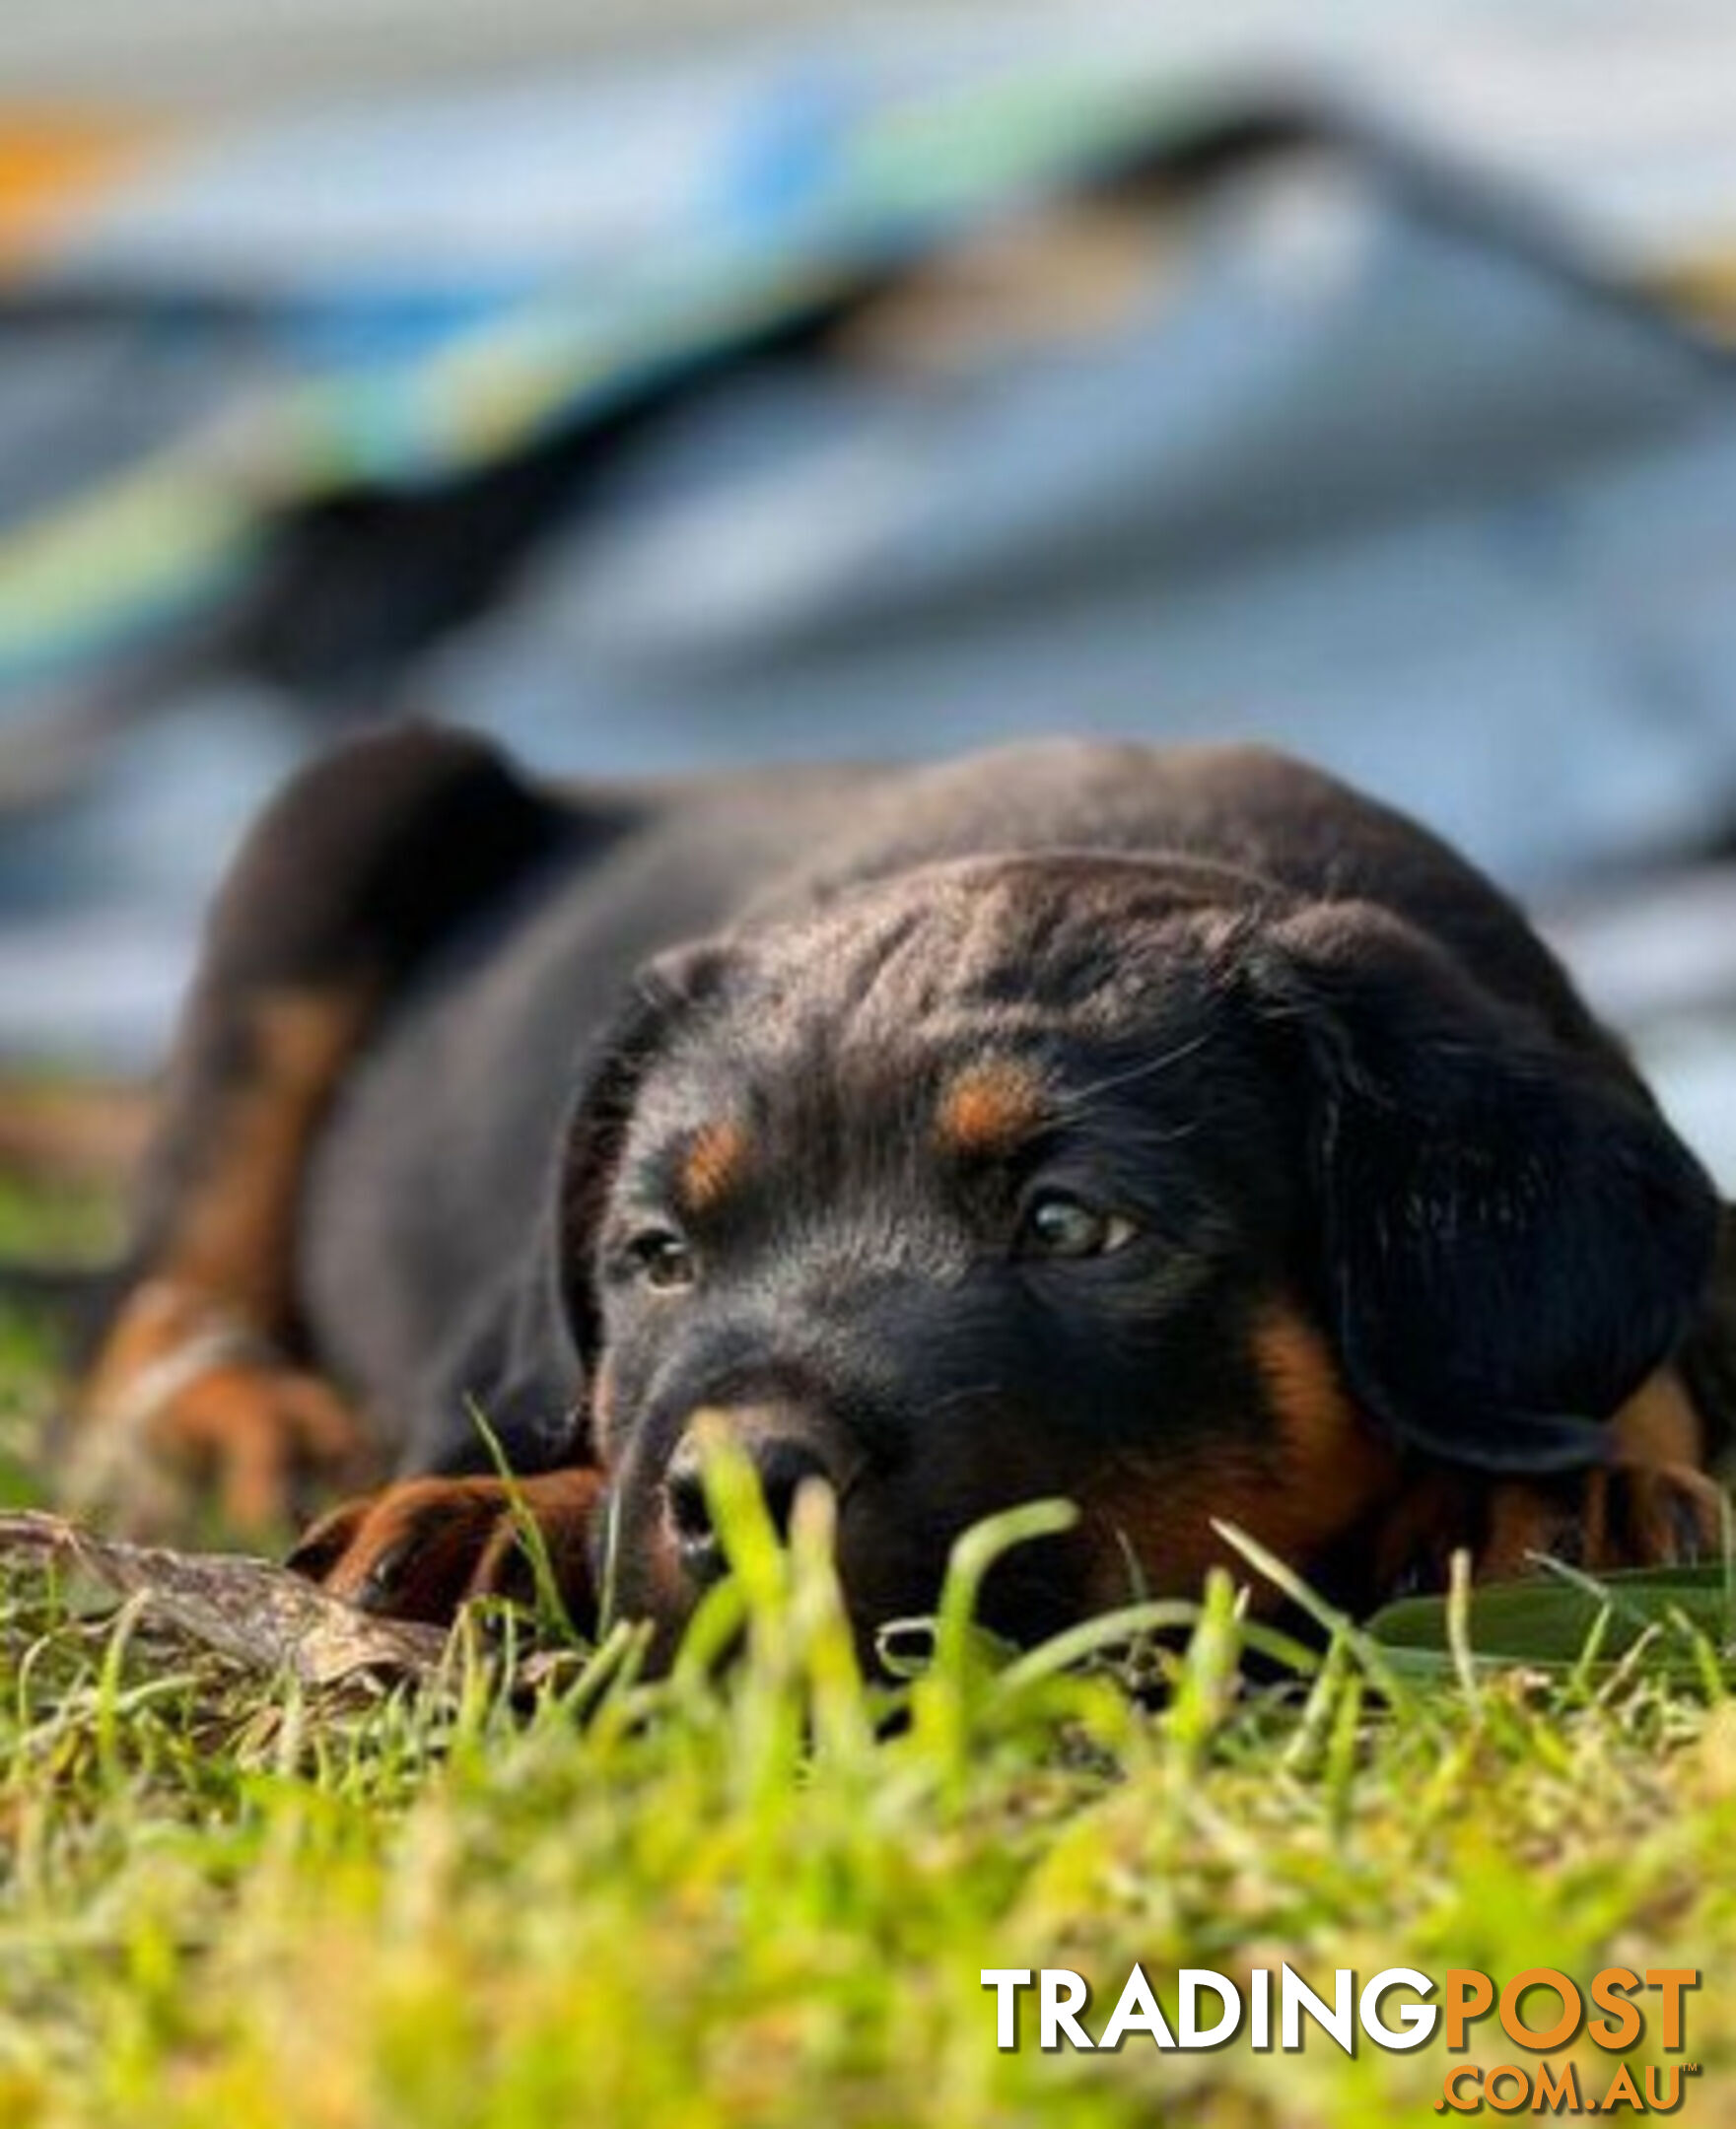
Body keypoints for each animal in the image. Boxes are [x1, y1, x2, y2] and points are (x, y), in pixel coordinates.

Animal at [67, 727, 1736, 1643]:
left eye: (1071, 1226)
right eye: (656, 1256)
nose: (739, 1496)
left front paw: (1568, 1490)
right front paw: (503, 1518)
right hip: (336, 822)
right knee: (148, 1301)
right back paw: (243, 1416)